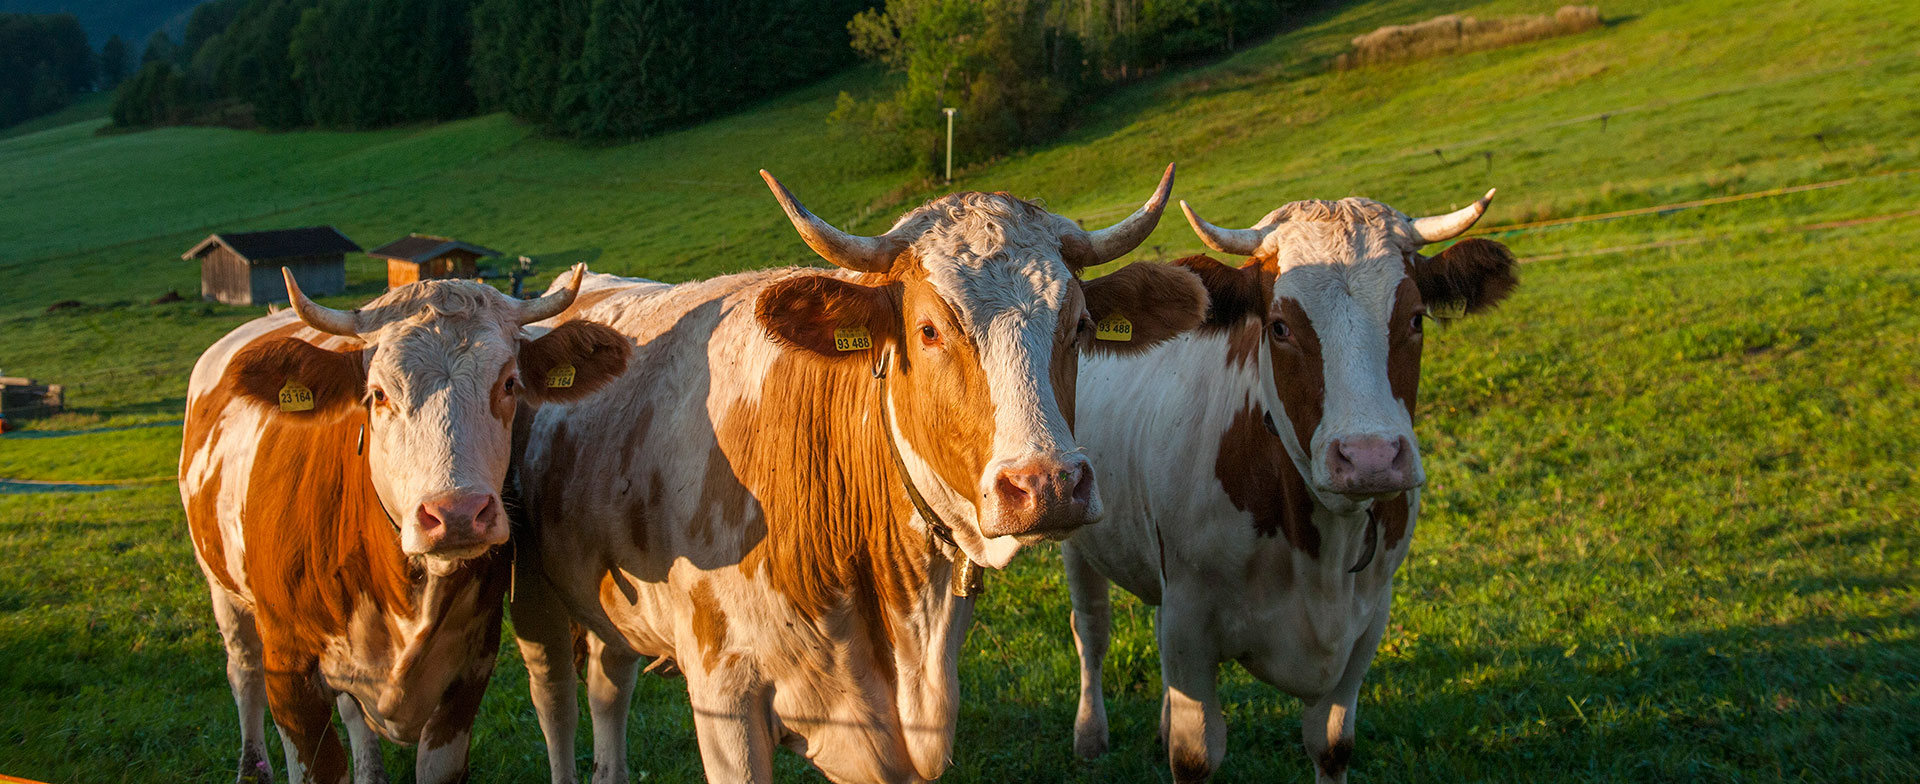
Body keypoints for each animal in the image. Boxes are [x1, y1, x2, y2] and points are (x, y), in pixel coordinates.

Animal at [178, 267, 622, 780]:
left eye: (509, 384)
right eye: (378, 393)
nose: (456, 514)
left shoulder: (469, 671)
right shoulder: (290, 674)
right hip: (221, 587)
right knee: (242, 669)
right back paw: (252, 766)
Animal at [518, 167, 1205, 784]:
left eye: (1080, 327)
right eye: (928, 330)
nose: (1049, 485)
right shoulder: (725, 699)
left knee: (608, 684)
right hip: (535, 600)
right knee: (555, 702)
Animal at [1059, 191, 1520, 784]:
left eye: (1416, 318)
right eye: (1279, 327)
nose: (1370, 458)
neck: (1321, 553)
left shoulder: (1368, 620)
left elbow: (1331, 744)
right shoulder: (1190, 622)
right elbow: (1194, 755)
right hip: (1078, 531)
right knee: (1091, 629)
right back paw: (1090, 734)